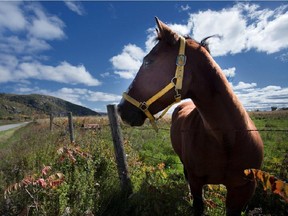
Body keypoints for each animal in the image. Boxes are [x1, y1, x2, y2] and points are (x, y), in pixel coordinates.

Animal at [117, 17, 264, 215]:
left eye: (148, 62)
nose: (121, 109)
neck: (226, 139)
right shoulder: (196, 181)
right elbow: (197, 204)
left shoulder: (242, 191)